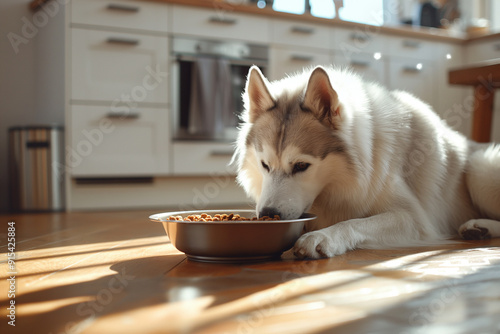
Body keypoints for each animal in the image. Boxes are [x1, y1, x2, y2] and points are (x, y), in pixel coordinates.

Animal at [233, 65, 500, 258]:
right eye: (265, 165)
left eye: (301, 166)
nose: (268, 214)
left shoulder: (413, 218)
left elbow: (353, 222)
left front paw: (324, 237)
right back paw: (478, 229)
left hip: (480, 169)